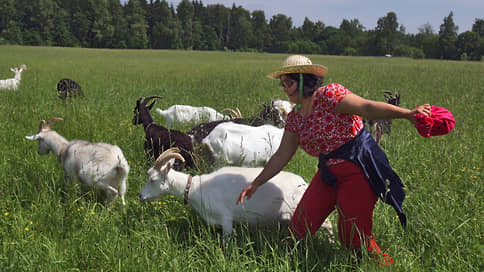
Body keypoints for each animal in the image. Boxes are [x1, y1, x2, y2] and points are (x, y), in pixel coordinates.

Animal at [138, 148, 330, 237]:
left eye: (153, 179)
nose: (140, 196)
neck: (196, 188)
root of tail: (303, 183)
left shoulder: (226, 219)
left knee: (327, 224)